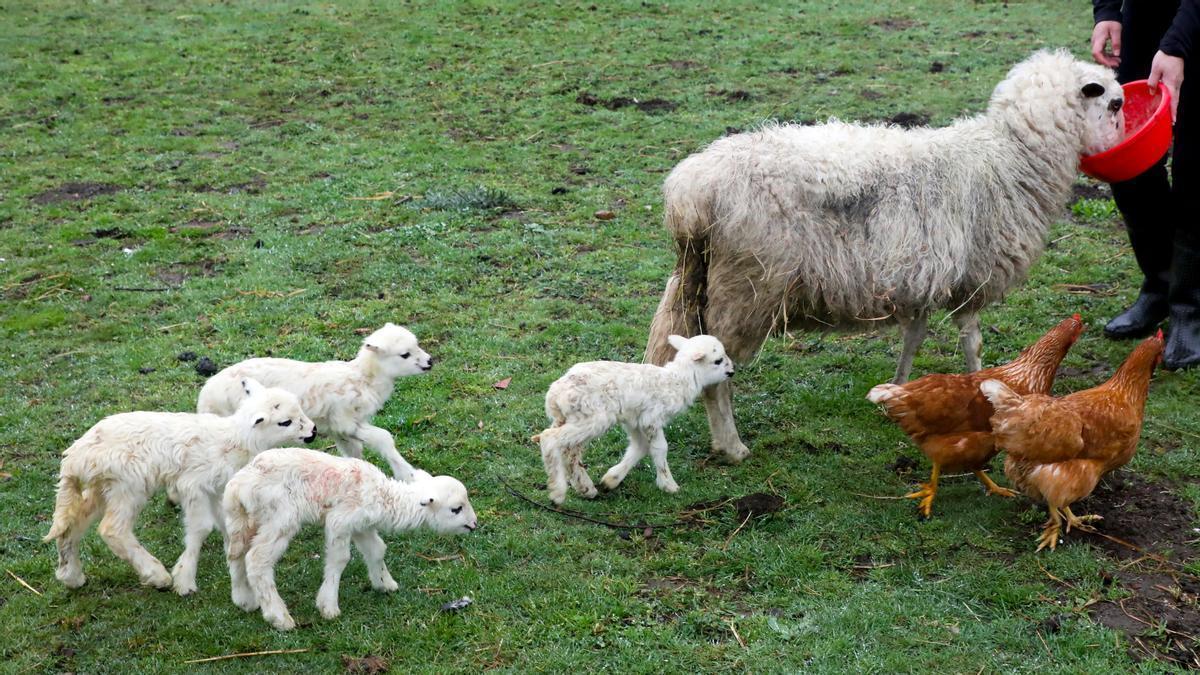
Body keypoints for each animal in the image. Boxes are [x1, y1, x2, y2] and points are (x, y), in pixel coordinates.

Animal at [44, 379, 316, 593]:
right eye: (285, 422)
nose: (313, 431)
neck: (234, 439)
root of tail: (75, 457)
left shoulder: (217, 488)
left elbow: (225, 522)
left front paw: (232, 551)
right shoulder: (193, 484)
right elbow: (201, 527)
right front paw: (184, 579)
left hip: (102, 487)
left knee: (72, 524)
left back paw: (71, 576)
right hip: (128, 485)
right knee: (112, 530)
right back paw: (157, 575)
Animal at [199, 319, 434, 478]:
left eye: (417, 345)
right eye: (405, 354)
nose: (430, 361)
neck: (363, 379)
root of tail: (205, 395)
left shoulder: (339, 428)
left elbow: (353, 451)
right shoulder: (344, 419)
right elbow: (384, 437)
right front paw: (407, 473)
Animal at [223, 444, 475, 629]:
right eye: (456, 509)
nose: (474, 524)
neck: (383, 496)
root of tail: (238, 486)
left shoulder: (362, 524)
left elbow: (377, 549)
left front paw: (384, 583)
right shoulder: (340, 521)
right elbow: (340, 559)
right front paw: (328, 606)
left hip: (242, 519)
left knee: (235, 554)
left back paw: (244, 599)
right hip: (281, 516)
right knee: (257, 559)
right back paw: (279, 617)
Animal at [532, 333, 729, 502]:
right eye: (718, 361)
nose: (732, 372)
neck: (678, 380)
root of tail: (555, 395)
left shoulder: (634, 420)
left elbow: (640, 447)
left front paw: (611, 479)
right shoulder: (651, 418)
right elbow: (660, 448)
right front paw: (669, 485)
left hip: (569, 418)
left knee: (567, 450)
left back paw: (586, 488)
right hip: (591, 418)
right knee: (549, 438)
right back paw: (558, 491)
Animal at [648, 49, 1123, 461]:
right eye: (1115, 103)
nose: (1119, 140)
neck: (1009, 157)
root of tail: (690, 193)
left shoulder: (923, 278)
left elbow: (914, 336)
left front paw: (896, 390)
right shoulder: (971, 280)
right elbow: (972, 342)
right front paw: (983, 393)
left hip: (696, 282)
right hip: (747, 289)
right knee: (715, 374)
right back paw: (731, 446)